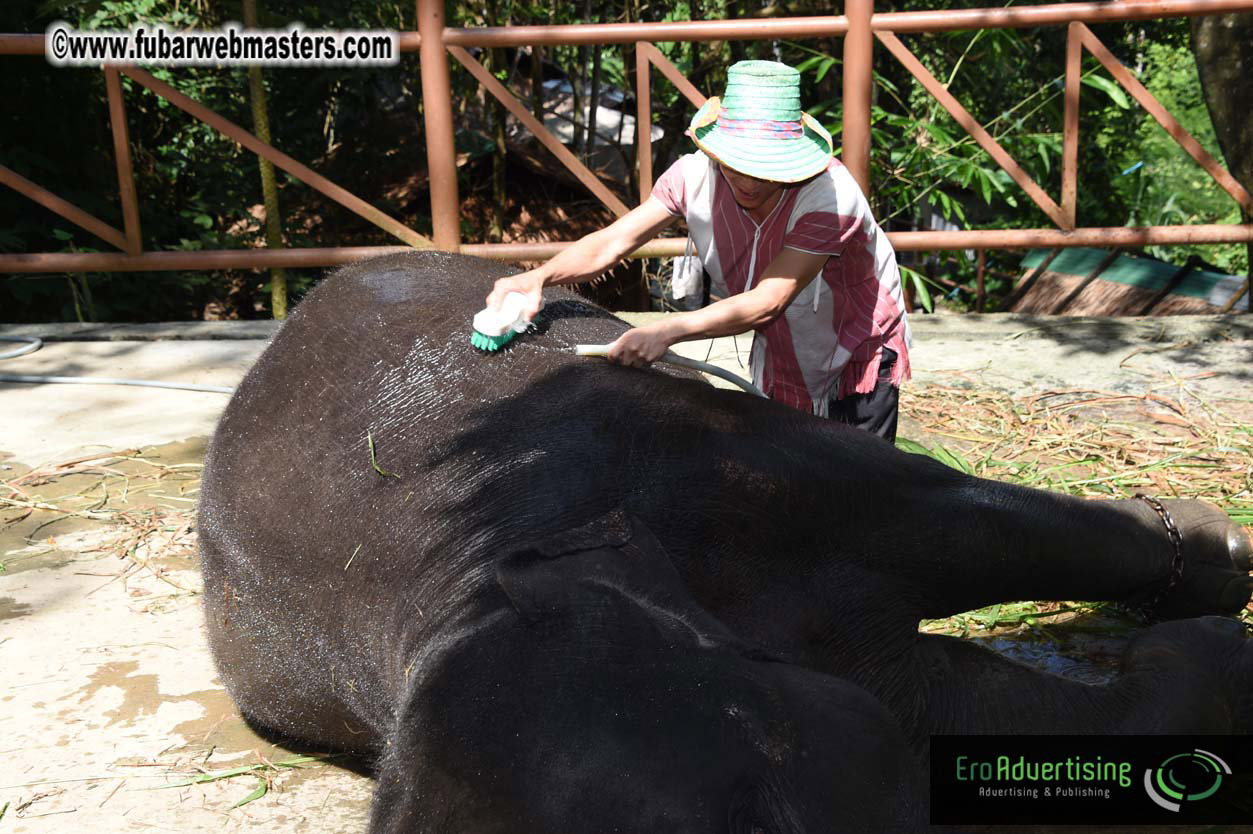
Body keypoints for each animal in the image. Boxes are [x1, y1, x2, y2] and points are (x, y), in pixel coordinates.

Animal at [198, 251, 1253, 833]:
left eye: (758, 817)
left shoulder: (745, 463)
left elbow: (984, 523)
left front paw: (1218, 563)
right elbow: (997, 718)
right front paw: (1212, 650)